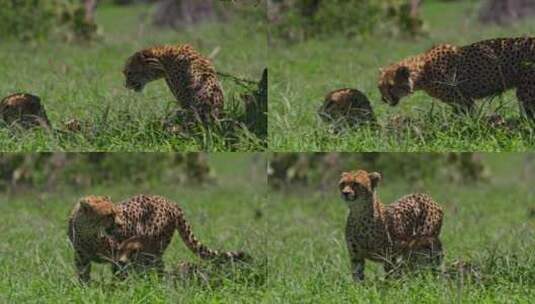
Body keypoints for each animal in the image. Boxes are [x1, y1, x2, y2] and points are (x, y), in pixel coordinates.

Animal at [67, 195, 249, 282]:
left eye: (117, 212)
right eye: (109, 215)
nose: (120, 224)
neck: (88, 233)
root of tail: (170, 202)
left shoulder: (117, 255)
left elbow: (119, 273)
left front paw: (117, 290)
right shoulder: (81, 258)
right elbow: (83, 276)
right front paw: (86, 291)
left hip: (150, 250)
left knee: (157, 267)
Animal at [376, 37, 535, 119]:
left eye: (390, 86)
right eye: (380, 87)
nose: (383, 99)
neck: (422, 73)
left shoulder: (463, 100)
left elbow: (465, 118)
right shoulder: (459, 102)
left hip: (526, 91)